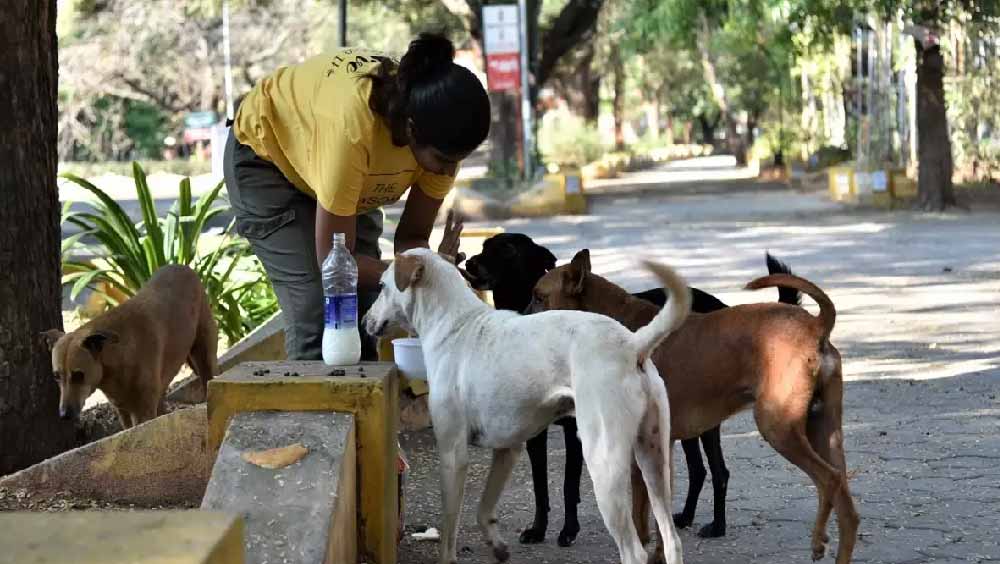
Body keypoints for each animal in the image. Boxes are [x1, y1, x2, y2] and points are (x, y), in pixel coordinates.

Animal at [42, 264, 217, 428]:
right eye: (56, 376)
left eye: (79, 375)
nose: (64, 415)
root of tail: (182, 266)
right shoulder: (124, 412)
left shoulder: (143, 412)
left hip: (204, 358)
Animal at [364, 250, 692, 564]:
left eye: (382, 286)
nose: (364, 321)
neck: (455, 324)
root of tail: (632, 344)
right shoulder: (508, 449)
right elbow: (483, 509)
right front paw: (497, 547)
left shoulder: (452, 454)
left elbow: (449, 528)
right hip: (655, 459)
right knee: (672, 540)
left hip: (604, 464)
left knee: (634, 552)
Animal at [464, 232, 800, 548]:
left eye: (539, 297)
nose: (516, 324)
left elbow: (579, 486)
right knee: (700, 470)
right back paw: (687, 517)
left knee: (718, 472)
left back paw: (717, 526)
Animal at [532, 251, 860, 564]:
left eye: (538, 296)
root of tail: (815, 326)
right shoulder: (657, 449)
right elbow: (655, 518)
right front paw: (659, 553)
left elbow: (643, 518)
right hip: (824, 432)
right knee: (846, 504)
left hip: (778, 426)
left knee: (829, 480)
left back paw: (817, 540)